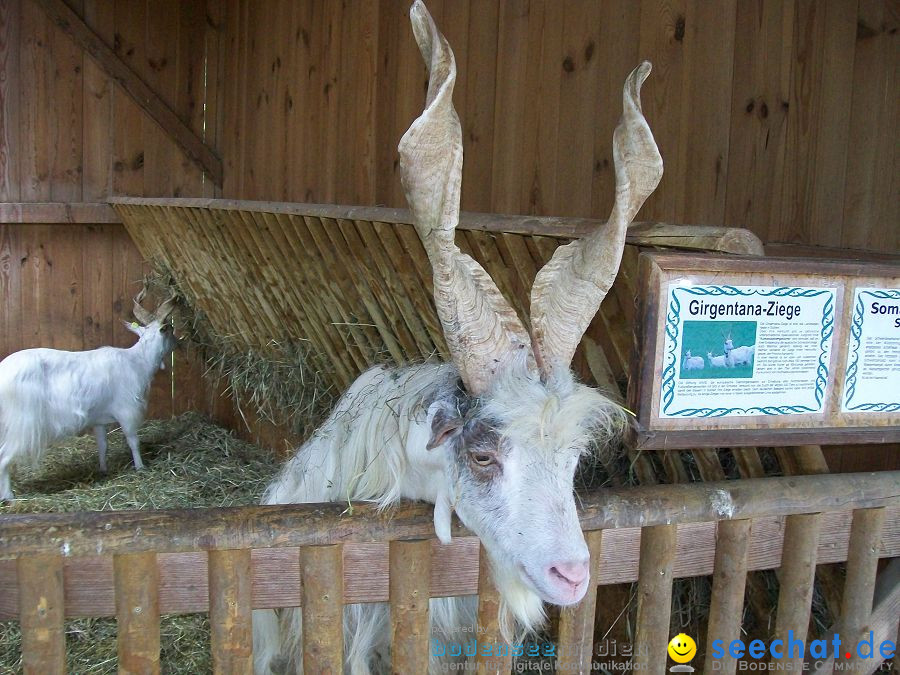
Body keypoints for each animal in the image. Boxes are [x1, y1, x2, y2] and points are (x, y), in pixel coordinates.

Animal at [0, 292, 178, 502]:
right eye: (170, 330)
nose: (178, 343)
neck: (138, 361)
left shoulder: (99, 419)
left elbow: (103, 445)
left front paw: (103, 469)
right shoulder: (127, 411)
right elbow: (133, 441)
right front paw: (140, 467)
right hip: (21, 425)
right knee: (3, 457)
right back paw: (9, 496)